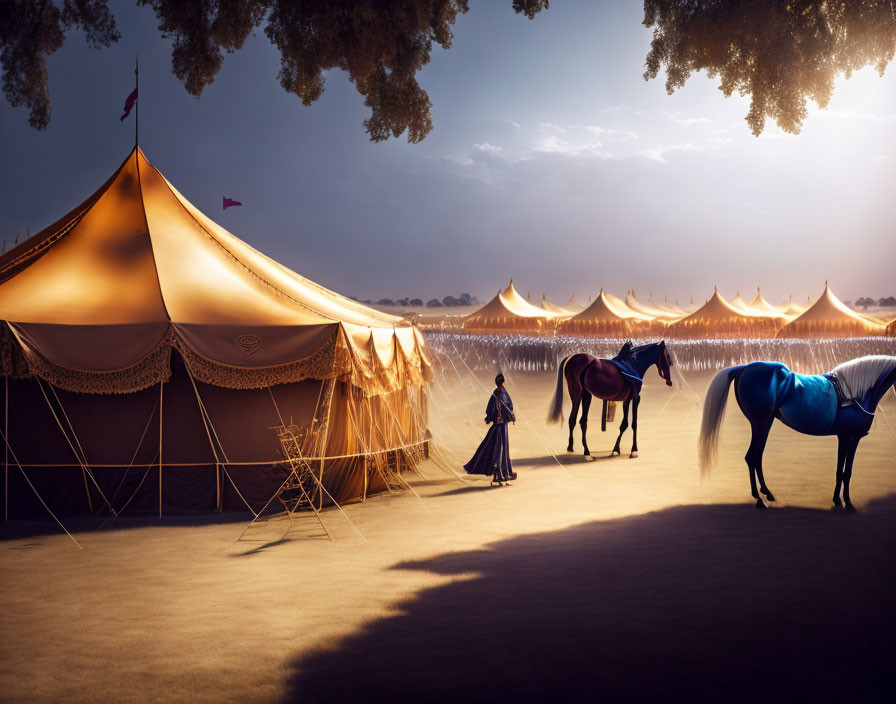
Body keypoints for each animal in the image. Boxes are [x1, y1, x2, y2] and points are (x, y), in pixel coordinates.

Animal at [544, 344, 672, 460]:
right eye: (666, 356)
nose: (670, 382)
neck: (633, 364)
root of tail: (573, 357)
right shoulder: (636, 398)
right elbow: (634, 424)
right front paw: (634, 451)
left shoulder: (627, 399)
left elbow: (624, 424)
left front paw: (616, 450)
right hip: (576, 393)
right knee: (573, 419)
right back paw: (581, 452)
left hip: (586, 395)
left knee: (580, 421)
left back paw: (582, 451)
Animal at [700, 358, 896, 512]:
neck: (856, 392)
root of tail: (745, 367)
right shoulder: (850, 437)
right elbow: (845, 472)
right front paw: (846, 503)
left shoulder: (847, 438)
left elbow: (842, 470)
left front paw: (838, 500)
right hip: (759, 422)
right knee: (751, 456)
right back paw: (759, 499)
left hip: (765, 423)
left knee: (757, 456)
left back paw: (767, 493)